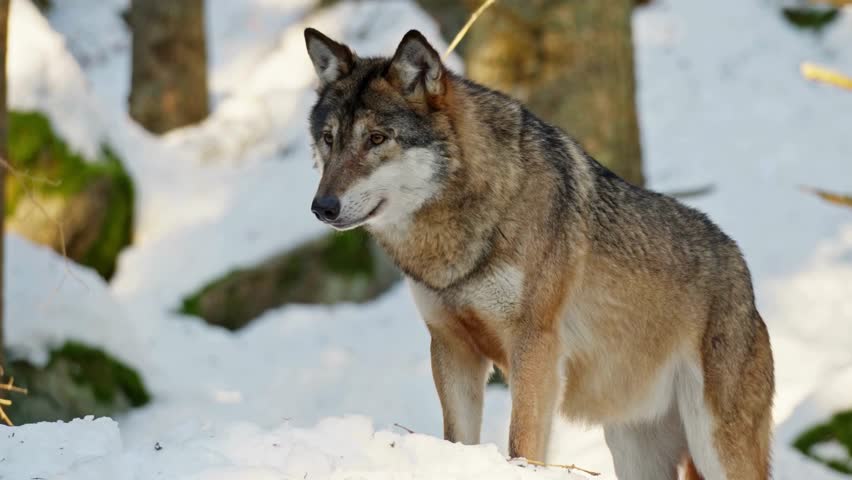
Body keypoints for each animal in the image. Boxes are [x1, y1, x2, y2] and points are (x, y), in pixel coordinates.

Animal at [303, 27, 774, 480]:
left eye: (376, 139)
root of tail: (743, 272)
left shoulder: (535, 345)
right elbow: (458, 438)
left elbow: (522, 440)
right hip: (635, 448)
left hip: (714, 446)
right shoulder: (451, 345)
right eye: (329, 140)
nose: (322, 207)